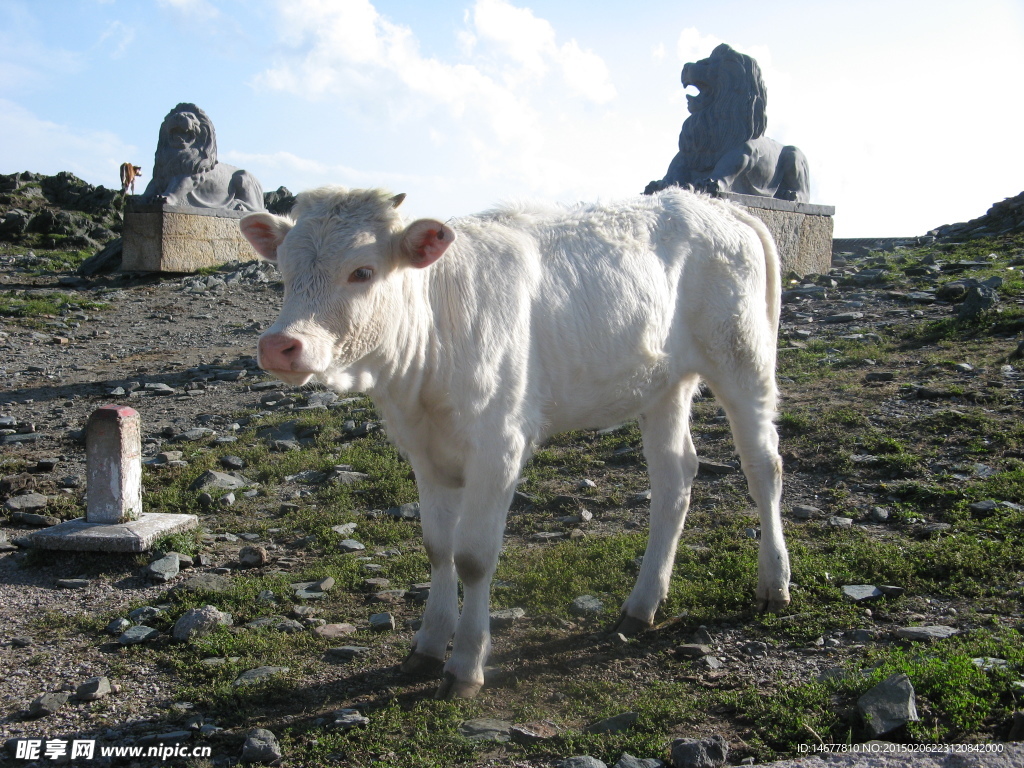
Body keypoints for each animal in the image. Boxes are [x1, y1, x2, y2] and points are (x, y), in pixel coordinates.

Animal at [241, 186, 790, 696]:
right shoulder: (423, 449)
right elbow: (438, 548)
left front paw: (465, 665)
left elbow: (473, 557)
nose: (279, 345)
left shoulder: (499, 443)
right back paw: (641, 606)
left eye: (362, 271)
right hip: (663, 383)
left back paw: (774, 583)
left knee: (763, 466)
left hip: (742, 356)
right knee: (674, 478)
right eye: (283, 272)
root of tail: (716, 204)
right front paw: (426, 647)